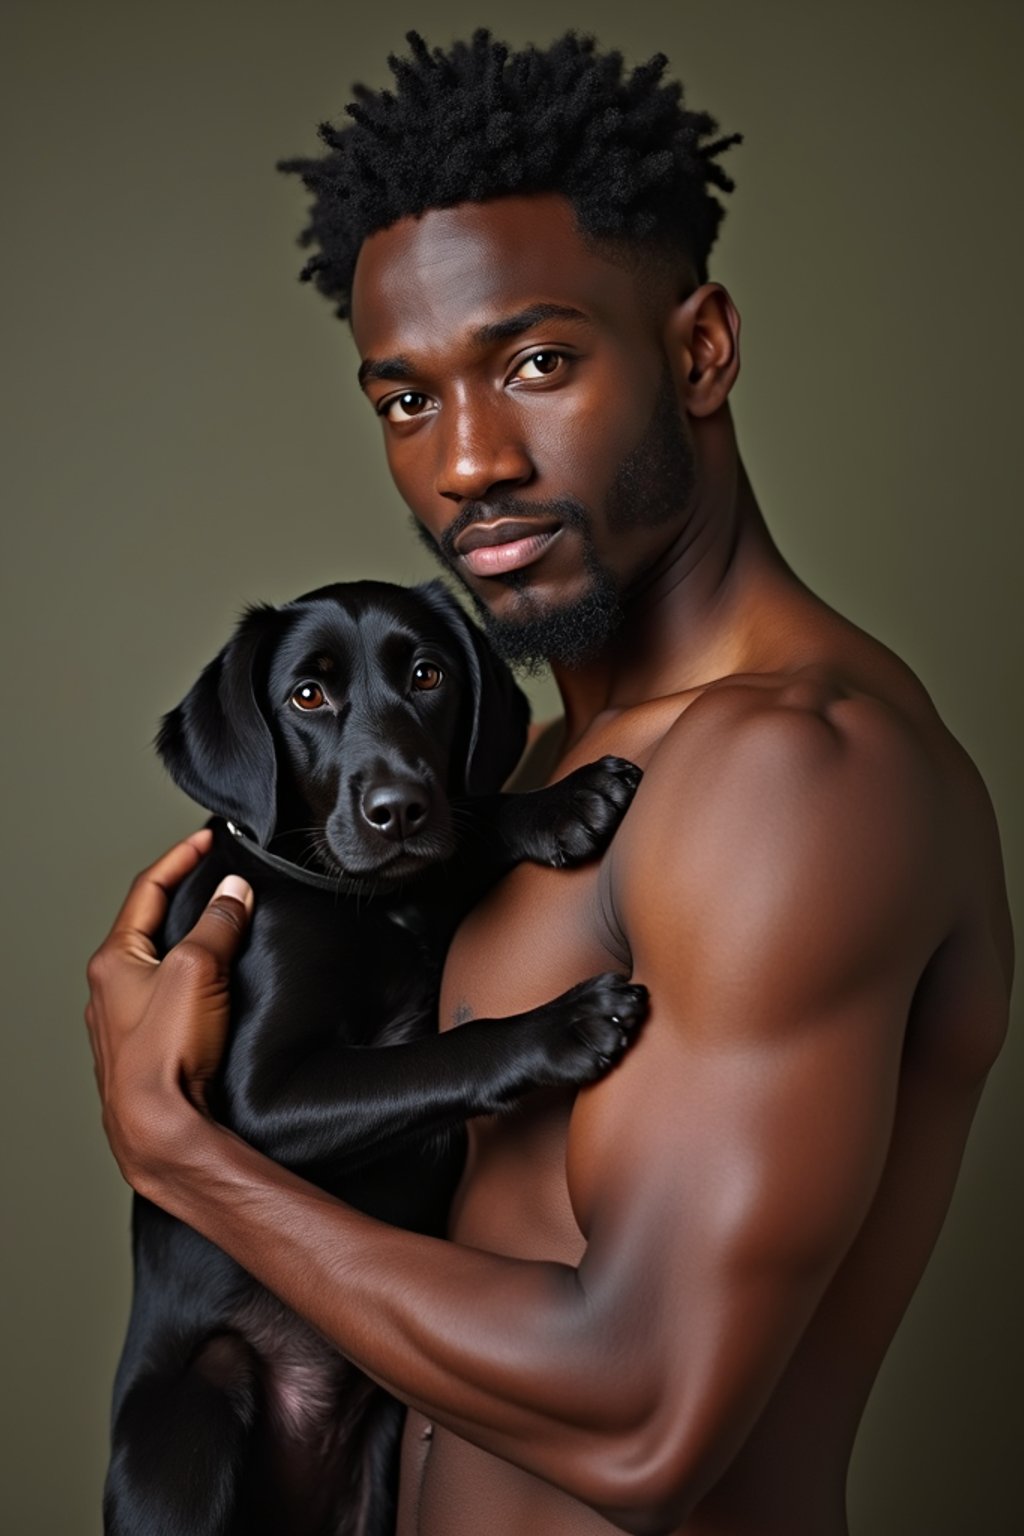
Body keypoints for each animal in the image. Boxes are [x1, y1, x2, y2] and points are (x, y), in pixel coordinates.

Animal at [105, 580, 647, 1536]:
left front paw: (557, 803)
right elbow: (436, 1053)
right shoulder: (254, 1100)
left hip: (380, 1459)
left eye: (428, 675)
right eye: (306, 695)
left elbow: (466, 833)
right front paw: (562, 1025)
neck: (362, 902)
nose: (398, 809)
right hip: (195, 1419)